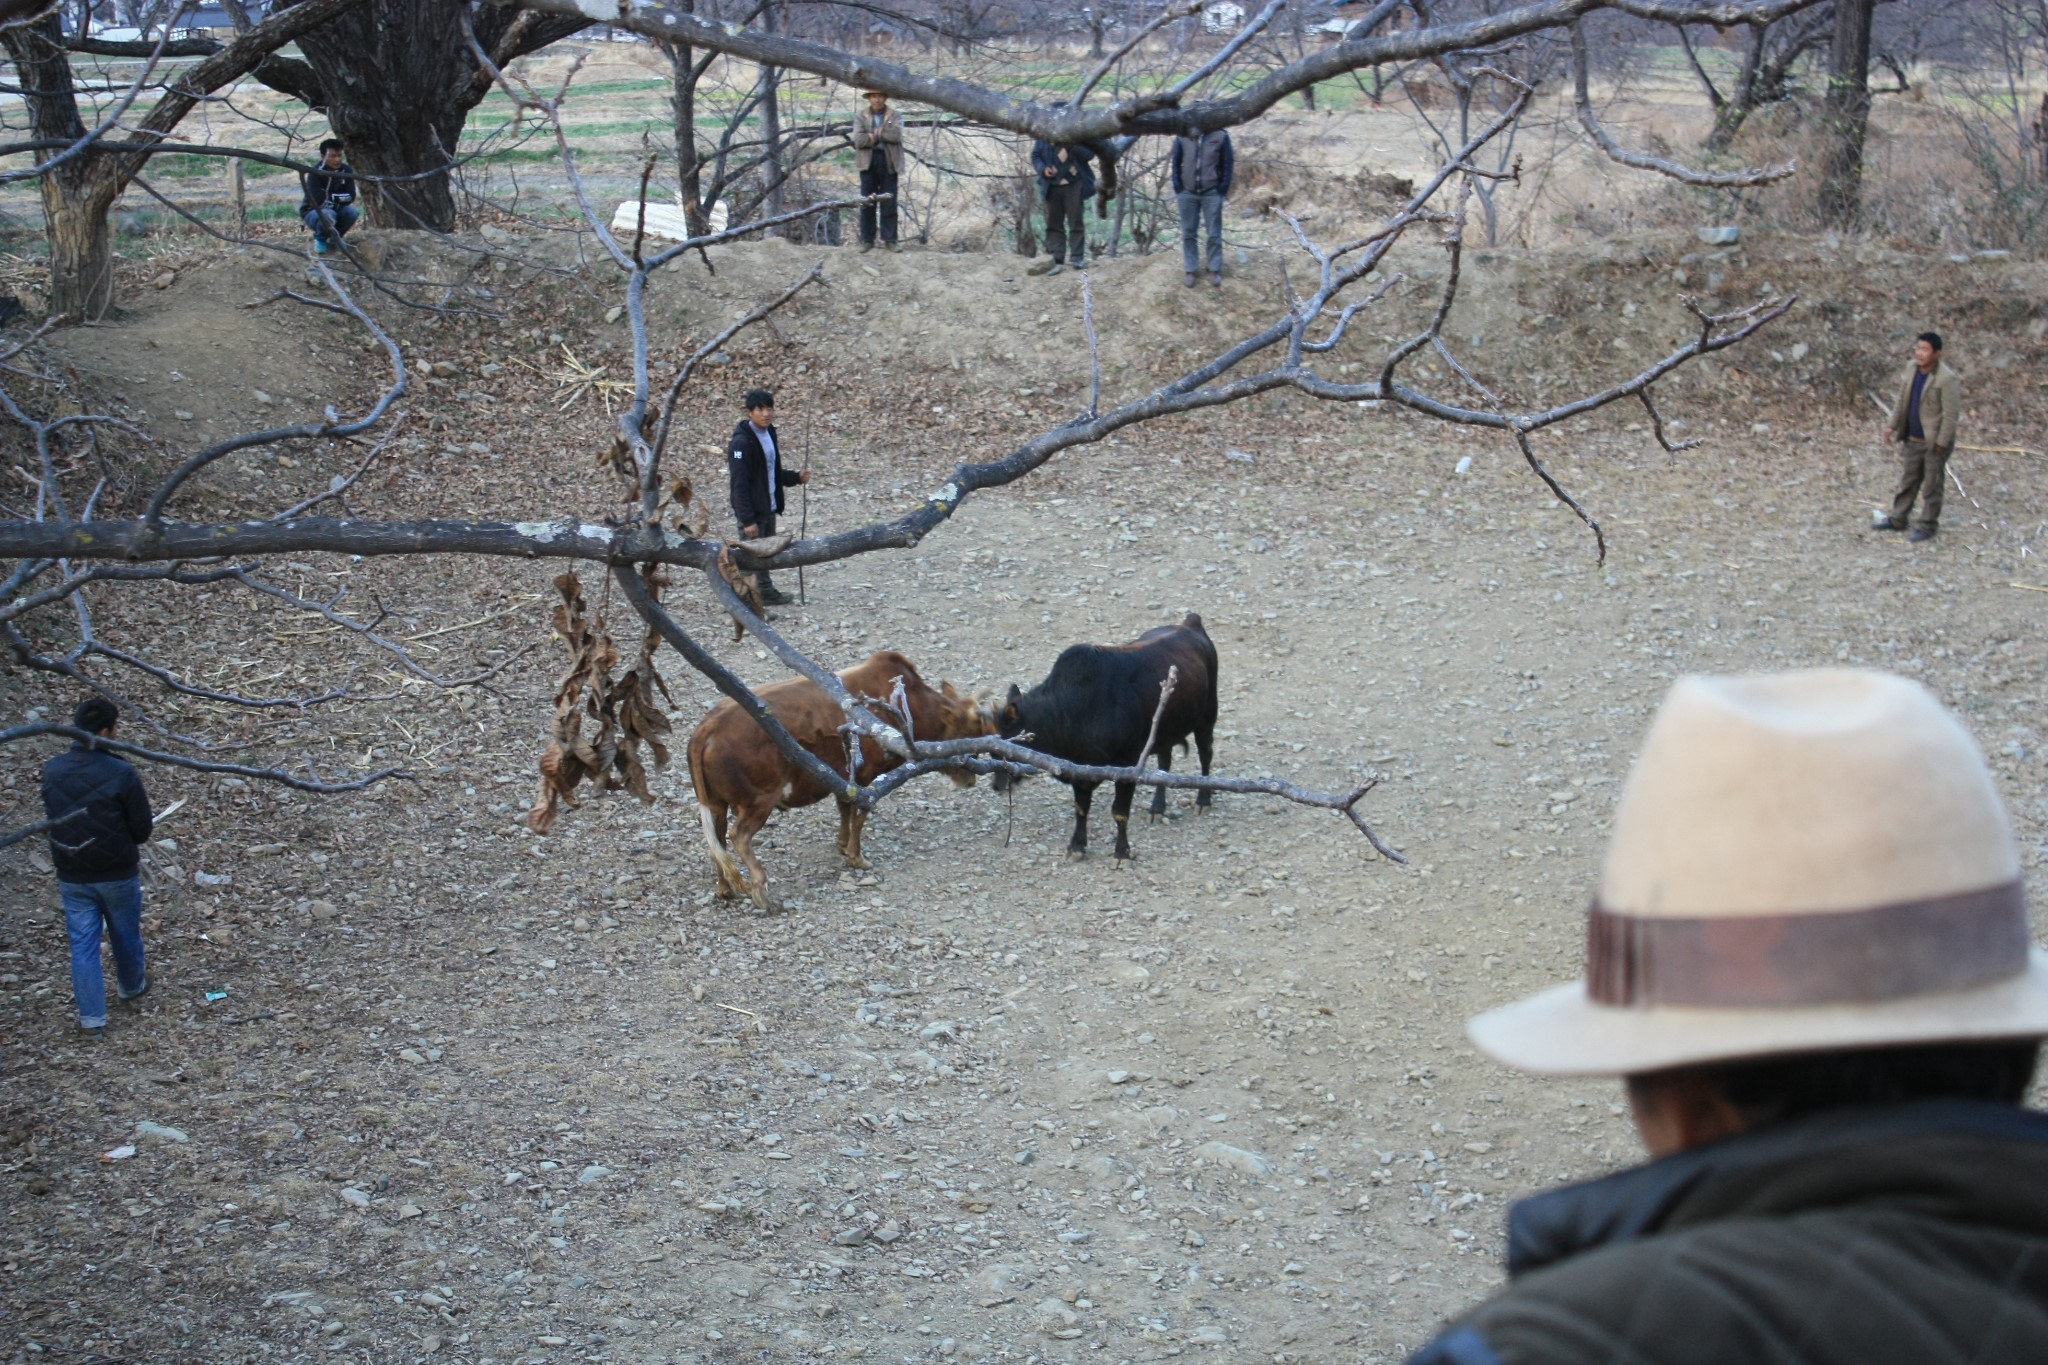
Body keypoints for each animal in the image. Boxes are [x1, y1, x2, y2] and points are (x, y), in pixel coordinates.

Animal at [684, 654, 995, 912]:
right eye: (968, 734)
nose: (971, 779)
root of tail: (707, 728)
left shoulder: (845, 778)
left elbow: (845, 810)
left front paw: (843, 844)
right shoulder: (867, 778)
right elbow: (859, 816)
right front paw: (857, 857)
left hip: (715, 802)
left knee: (718, 839)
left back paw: (725, 889)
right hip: (759, 801)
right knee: (738, 836)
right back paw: (761, 892)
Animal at [991, 618, 1212, 859]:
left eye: (1008, 746)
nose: (997, 786)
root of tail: (1190, 623)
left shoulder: (1127, 766)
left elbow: (1120, 812)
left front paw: (1122, 853)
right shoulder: (1078, 772)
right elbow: (1081, 808)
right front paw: (1077, 846)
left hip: (1207, 718)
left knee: (1205, 755)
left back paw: (1203, 800)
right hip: (1165, 730)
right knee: (1165, 762)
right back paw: (1157, 808)